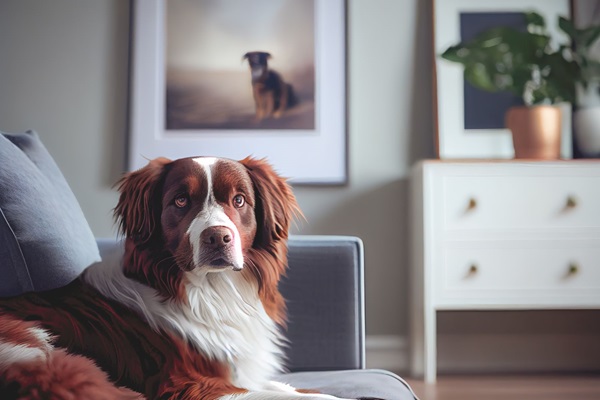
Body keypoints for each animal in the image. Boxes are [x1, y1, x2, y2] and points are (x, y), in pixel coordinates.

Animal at [0, 156, 382, 400]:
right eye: (181, 201)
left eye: (239, 200)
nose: (217, 237)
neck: (212, 290)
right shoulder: (191, 385)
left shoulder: (239, 373)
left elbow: (304, 391)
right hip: (32, 345)